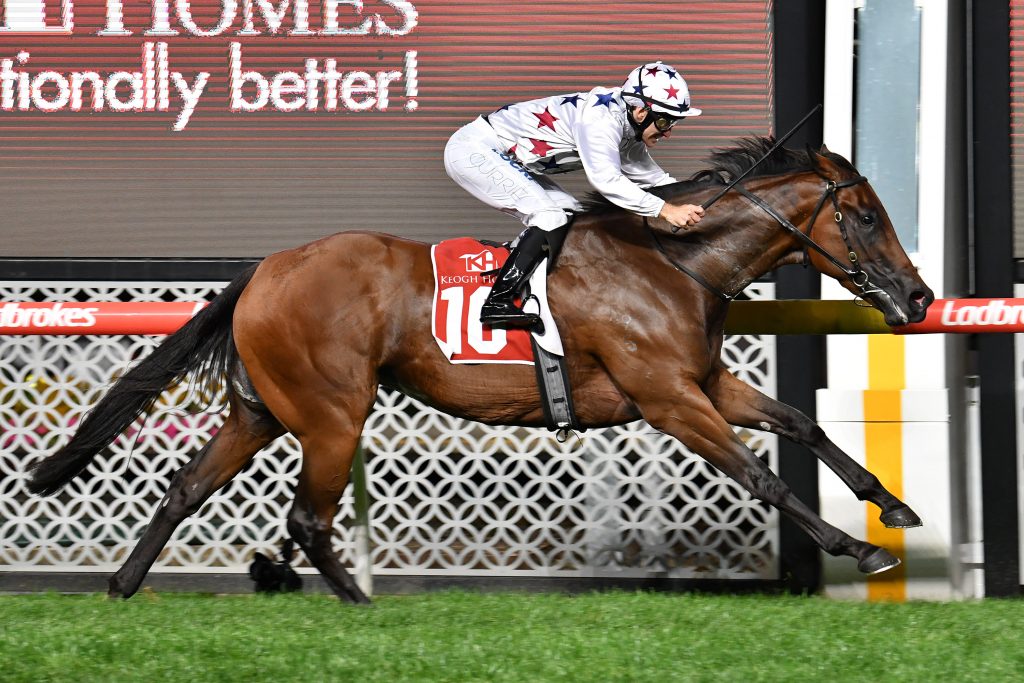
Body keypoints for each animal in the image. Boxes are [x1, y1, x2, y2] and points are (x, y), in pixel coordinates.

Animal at [26, 137, 934, 604]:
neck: (675, 262)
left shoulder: (703, 382)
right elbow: (759, 473)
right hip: (330, 414)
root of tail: (267, 267)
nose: (920, 296)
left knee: (186, 486)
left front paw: (893, 505)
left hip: (262, 410)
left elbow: (801, 423)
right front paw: (861, 549)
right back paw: (364, 606)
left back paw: (122, 587)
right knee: (308, 517)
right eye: (864, 215)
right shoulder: (666, 397)